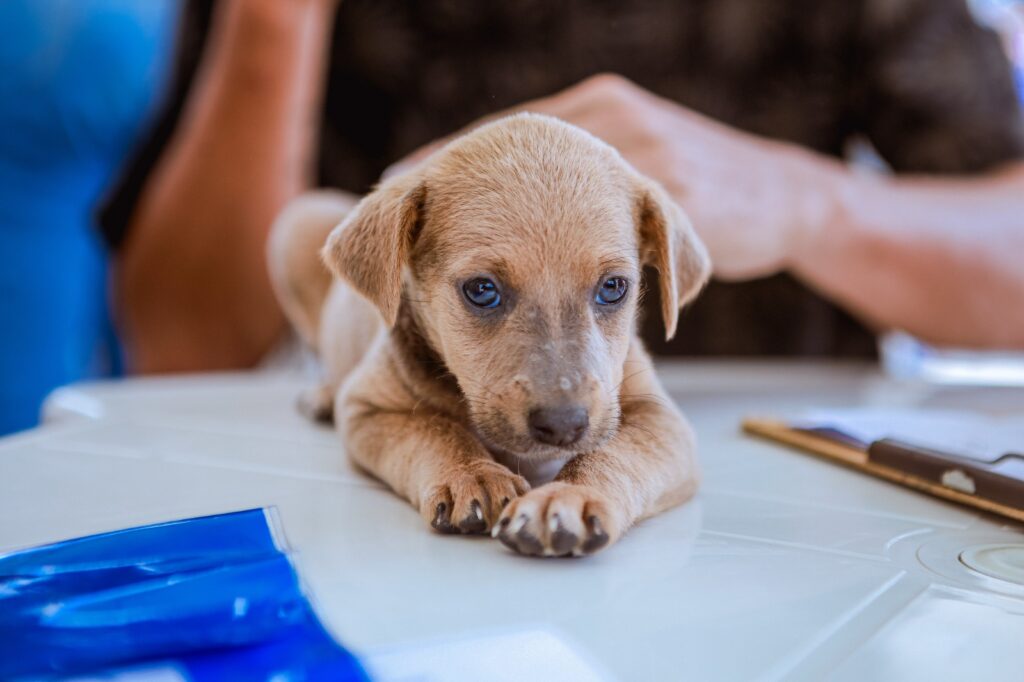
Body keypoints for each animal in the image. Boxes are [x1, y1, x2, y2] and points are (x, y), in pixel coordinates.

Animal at [268, 114, 708, 557]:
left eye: (614, 287)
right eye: (481, 290)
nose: (562, 426)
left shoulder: (660, 420)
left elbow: (612, 454)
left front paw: (568, 496)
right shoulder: (368, 408)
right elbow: (436, 431)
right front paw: (473, 474)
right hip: (300, 223)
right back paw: (321, 394)